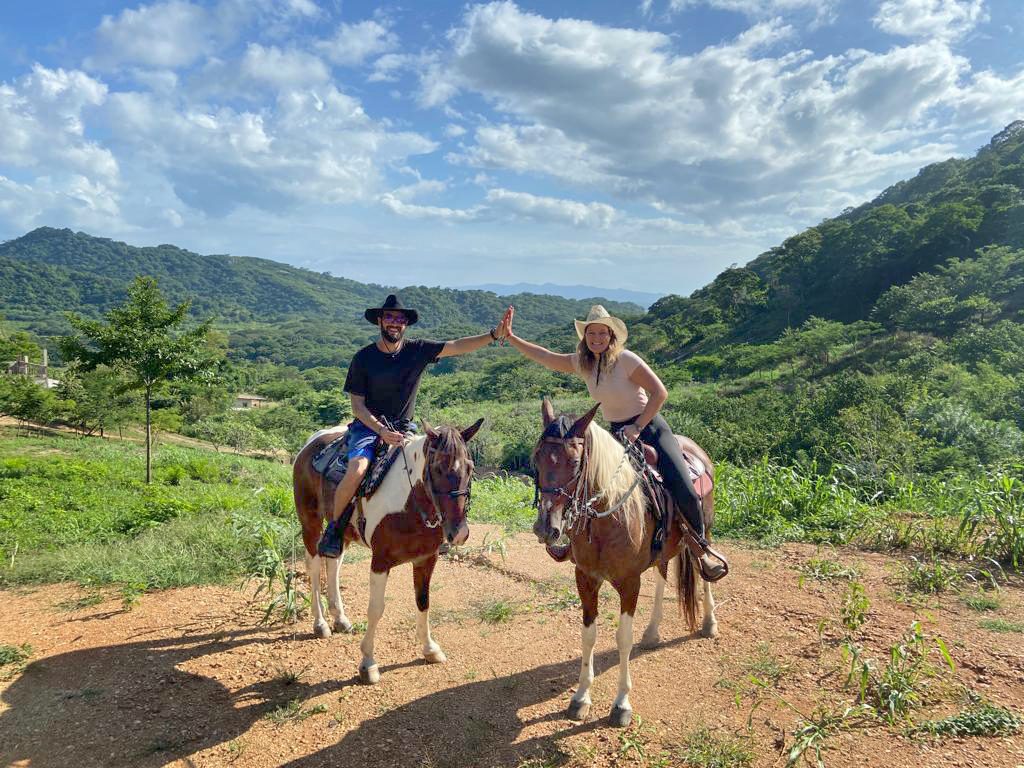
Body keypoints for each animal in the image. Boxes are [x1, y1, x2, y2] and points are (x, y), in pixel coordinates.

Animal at [292, 421, 483, 684]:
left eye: (470, 468)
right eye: (437, 468)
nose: (459, 532)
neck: (410, 504)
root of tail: (313, 441)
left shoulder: (427, 559)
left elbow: (423, 601)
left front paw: (429, 649)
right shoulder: (380, 561)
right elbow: (376, 609)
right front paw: (368, 663)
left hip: (341, 532)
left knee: (333, 564)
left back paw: (340, 618)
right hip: (310, 523)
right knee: (313, 567)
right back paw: (321, 623)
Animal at [532, 399, 716, 729]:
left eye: (575, 463)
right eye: (537, 459)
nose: (546, 528)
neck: (608, 515)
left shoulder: (629, 582)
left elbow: (623, 638)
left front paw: (620, 705)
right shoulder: (585, 578)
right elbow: (589, 635)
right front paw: (581, 697)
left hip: (704, 527)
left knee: (703, 569)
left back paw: (709, 622)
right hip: (665, 547)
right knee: (662, 575)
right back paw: (653, 633)